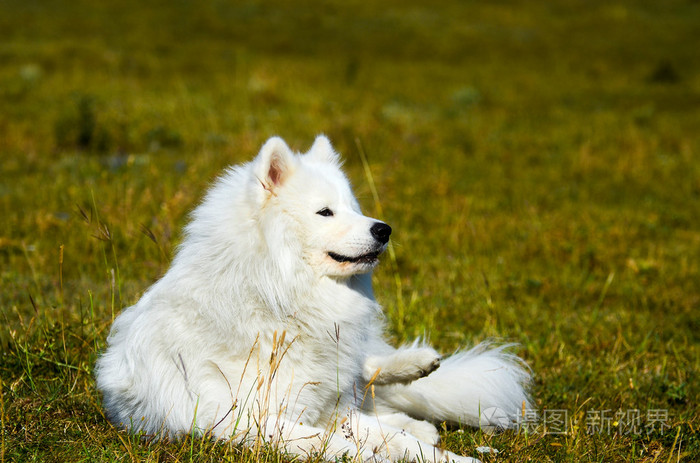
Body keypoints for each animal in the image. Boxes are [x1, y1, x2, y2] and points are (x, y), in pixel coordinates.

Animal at [94, 136, 532, 462]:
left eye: (354, 209)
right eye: (325, 212)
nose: (384, 229)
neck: (275, 297)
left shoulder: (326, 408)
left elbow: (392, 440)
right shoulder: (251, 421)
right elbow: (346, 446)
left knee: (368, 373)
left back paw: (418, 366)